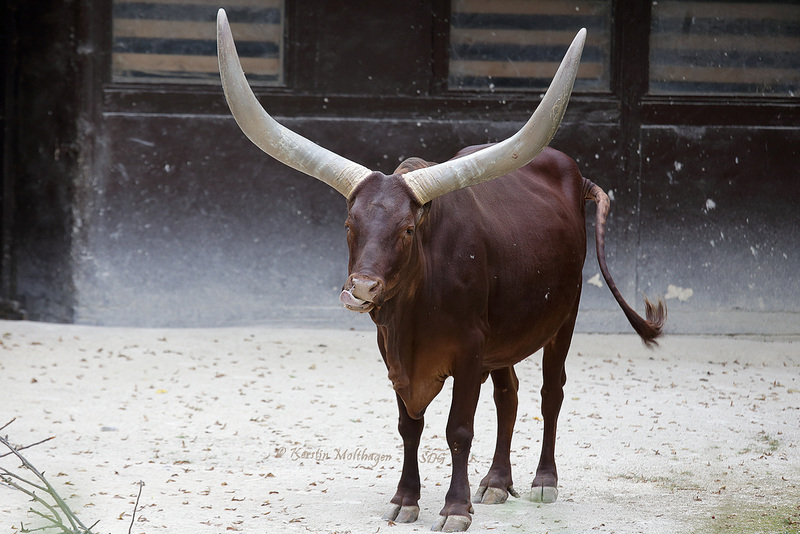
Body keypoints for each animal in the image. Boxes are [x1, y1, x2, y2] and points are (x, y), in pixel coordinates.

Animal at [216, 9, 664, 534]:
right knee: (509, 395)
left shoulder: (468, 350)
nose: (361, 289)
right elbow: (410, 425)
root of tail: (575, 174)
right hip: (503, 336)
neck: (414, 312)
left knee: (550, 392)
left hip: (564, 316)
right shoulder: (394, 352)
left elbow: (458, 429)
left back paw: (542, 481)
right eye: (349, 225)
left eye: (408, 229)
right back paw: (497, 482)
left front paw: (455, 508)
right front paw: (406, 499)